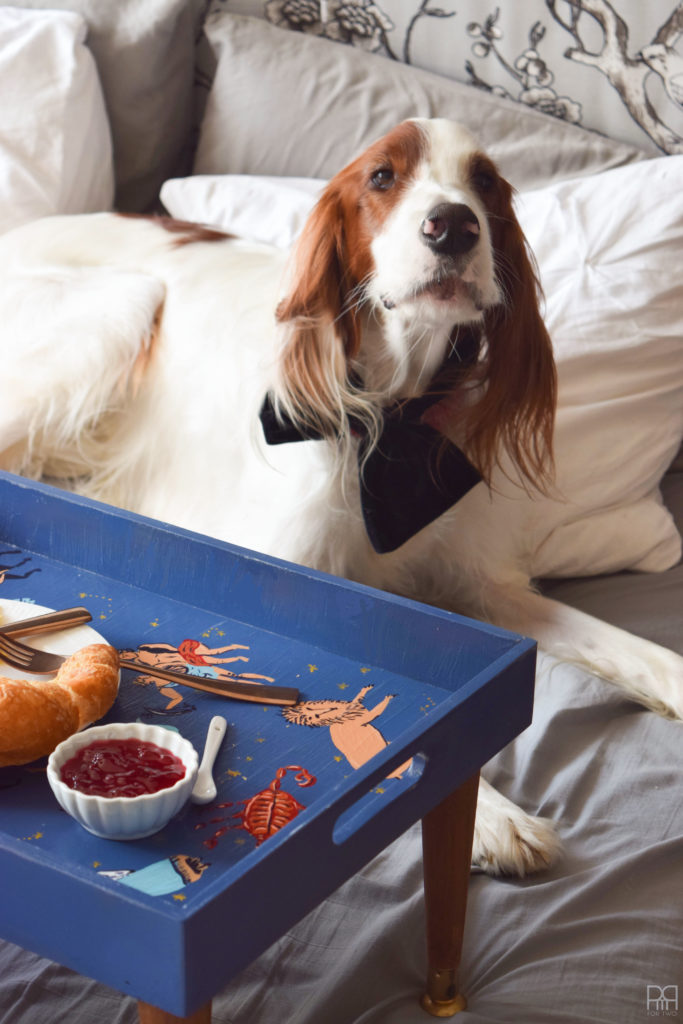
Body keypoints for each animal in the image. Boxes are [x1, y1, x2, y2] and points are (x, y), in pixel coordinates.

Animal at [0, 117, 679, 872]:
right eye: (382, 177)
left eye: (483, 182)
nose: (453, 226)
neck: (393, 418)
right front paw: (495, 816)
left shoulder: (476, 583)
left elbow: (627, 647)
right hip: (124, 304)